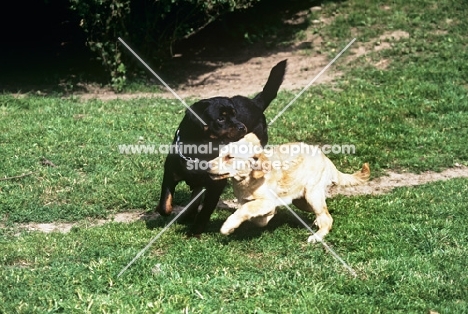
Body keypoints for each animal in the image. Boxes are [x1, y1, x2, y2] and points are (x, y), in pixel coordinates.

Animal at [157, 59, 288, 236]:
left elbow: (205, 210)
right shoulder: (170, 173)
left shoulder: (215, 185)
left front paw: (195, 231)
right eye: (220, 118)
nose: (242, 127)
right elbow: (165, 204)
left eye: (234, 114)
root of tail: (255, 103)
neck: (200, 151)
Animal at [208, 134, 370, 242]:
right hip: (302, 200)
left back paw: (317, 236)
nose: (207, 166)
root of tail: (326, 159)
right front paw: (266, 217)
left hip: (312, 194)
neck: (248, 180)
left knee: (327, 218)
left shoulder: (268, 201)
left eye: (229, 157)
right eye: (220, 154)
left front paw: (227, 226)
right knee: (324, 213)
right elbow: (257, 218)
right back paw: (316, 223)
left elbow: (245, 210)